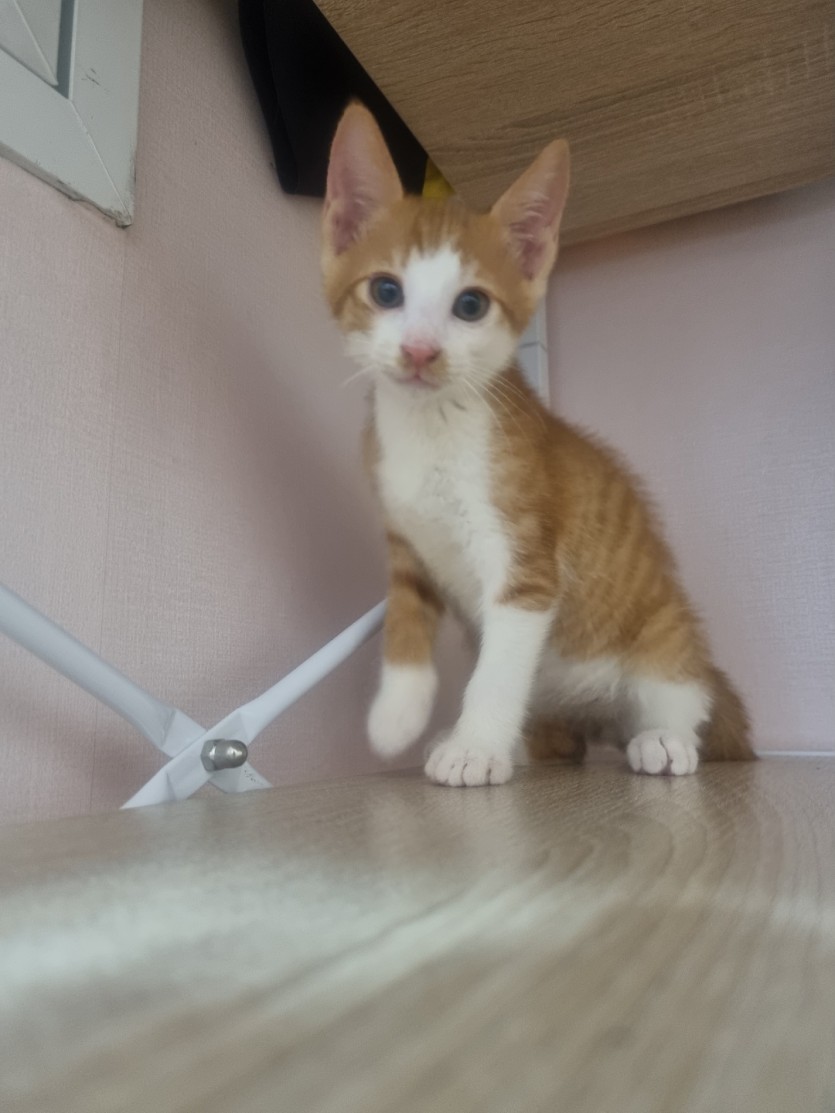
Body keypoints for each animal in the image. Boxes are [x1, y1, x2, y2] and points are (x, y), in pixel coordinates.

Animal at [321, 102, 754, 786]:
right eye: (386, 291)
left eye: (470, 305)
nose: (419, 351)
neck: (431, 425)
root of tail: (593, 716)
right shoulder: (406, 538)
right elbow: (404, 619)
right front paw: (397, 715)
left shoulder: (524, 564)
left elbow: (497, 671)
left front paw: (473, 748)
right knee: (558, 738)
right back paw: (522, 746)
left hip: (667, 637)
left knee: (680, 694)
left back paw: (662, 739)